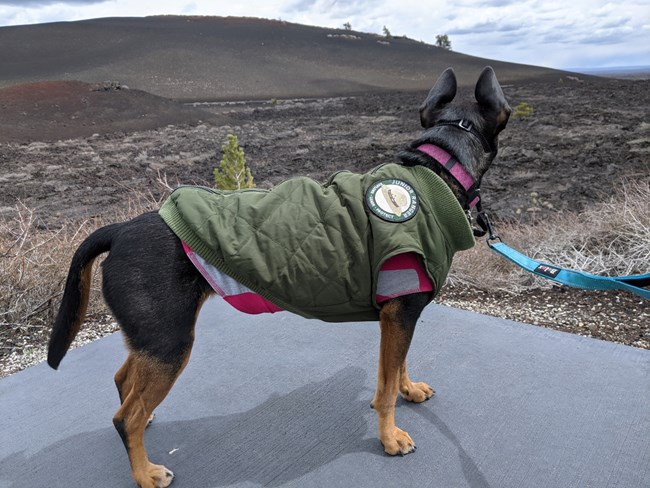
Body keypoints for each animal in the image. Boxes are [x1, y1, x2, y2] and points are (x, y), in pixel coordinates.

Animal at [48, 67, 508, 488]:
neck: (437, 170)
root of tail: (120, 229)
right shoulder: (400, 312)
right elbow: (384, 388)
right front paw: (390, 437)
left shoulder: (400, 313)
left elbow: (398, 368)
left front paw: (409, 389)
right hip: (170, 341)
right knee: (124, 417)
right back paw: (145, 472)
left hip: (153, 339)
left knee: (124, 381)